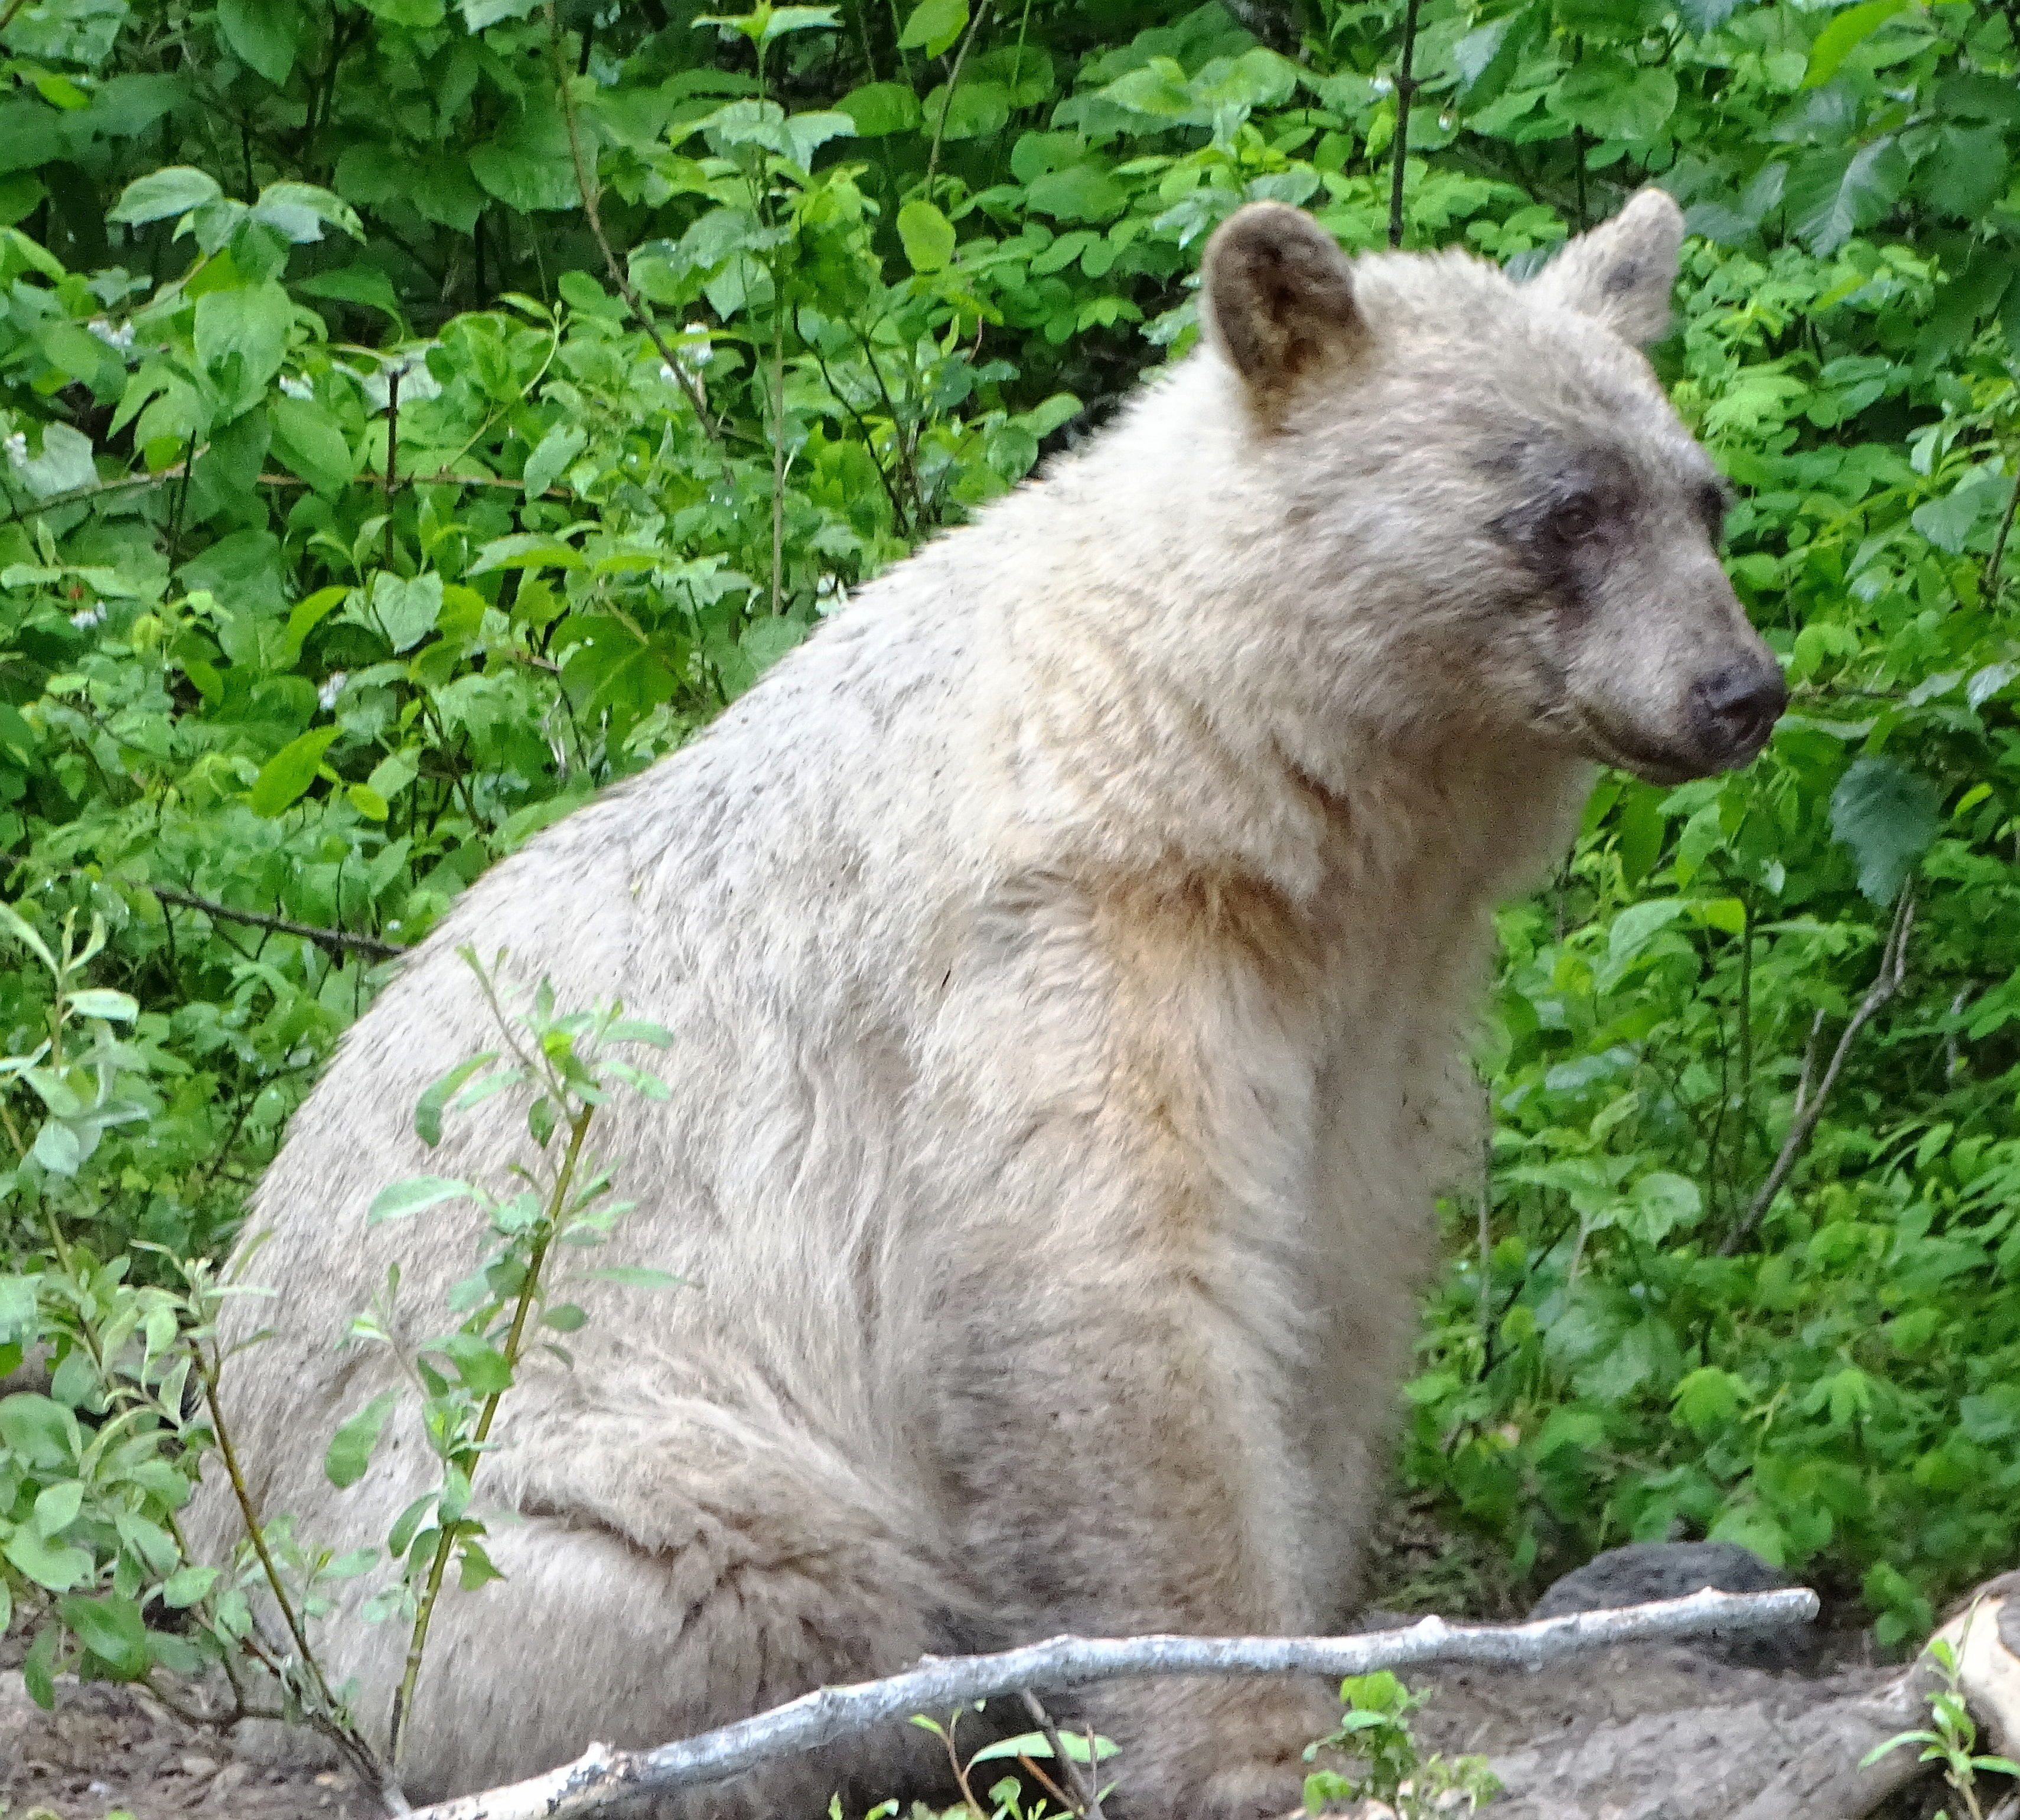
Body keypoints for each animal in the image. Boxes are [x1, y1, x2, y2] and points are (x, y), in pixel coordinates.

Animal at [186, 188, 1784, 1818]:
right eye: (1565, 509)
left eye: (1702, 498)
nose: (1739, 688)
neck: (1191, 745)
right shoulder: (1062, 945)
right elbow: (1103, 1295)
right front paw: (1245, 1730)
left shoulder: (1372, 1010)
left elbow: (1332, 1281)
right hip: (503, 1508)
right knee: (755, 1601)